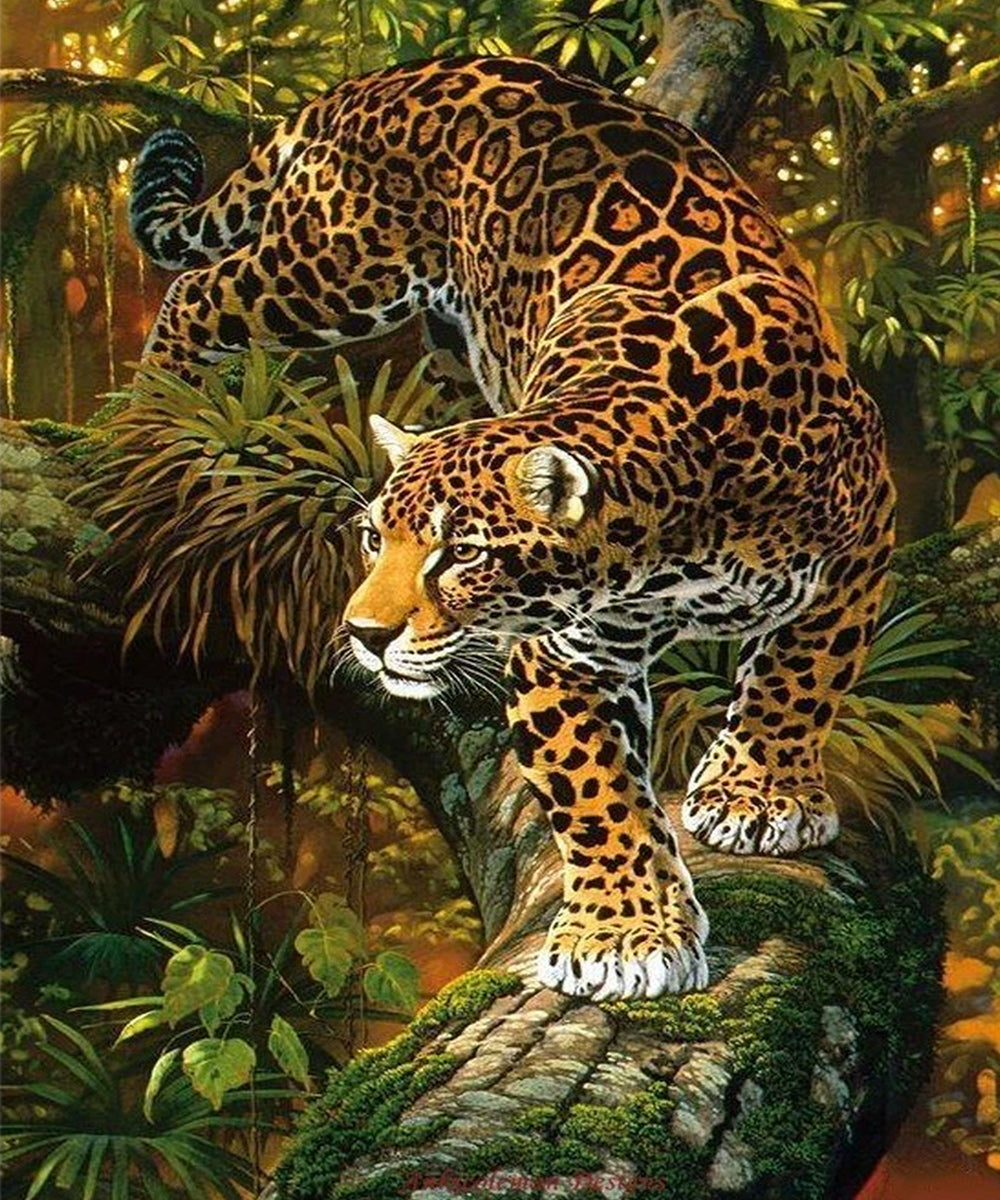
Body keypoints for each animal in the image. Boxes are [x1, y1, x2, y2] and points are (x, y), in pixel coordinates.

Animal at [131, 55, 896, 1001]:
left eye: (461, 553)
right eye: (375, 541)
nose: (363, 634)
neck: (672, 524)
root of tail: (395, 76)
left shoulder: (864, 534)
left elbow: (803, 671)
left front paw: (759, 794)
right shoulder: (563, 650)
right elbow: (596, 789)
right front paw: (623, 933)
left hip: (409, 308)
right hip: (340, 264)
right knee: (196, 291)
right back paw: (153, 411)